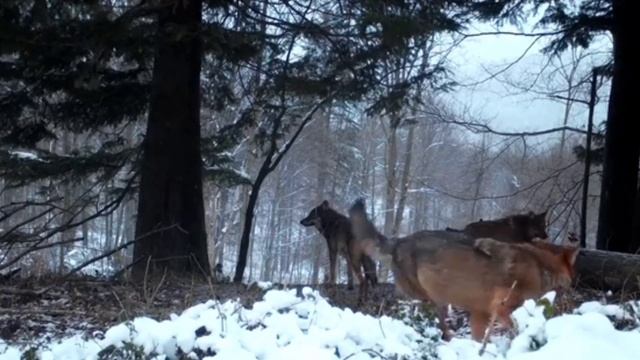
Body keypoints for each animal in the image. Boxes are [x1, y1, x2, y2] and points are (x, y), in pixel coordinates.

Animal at [350, 198, 580, 342]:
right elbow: (515, 329)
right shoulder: (501, 310)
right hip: (431, 298)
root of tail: (399, 241)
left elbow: (479, 338)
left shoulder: (480, 314)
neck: (540, 267)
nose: (573, 292)